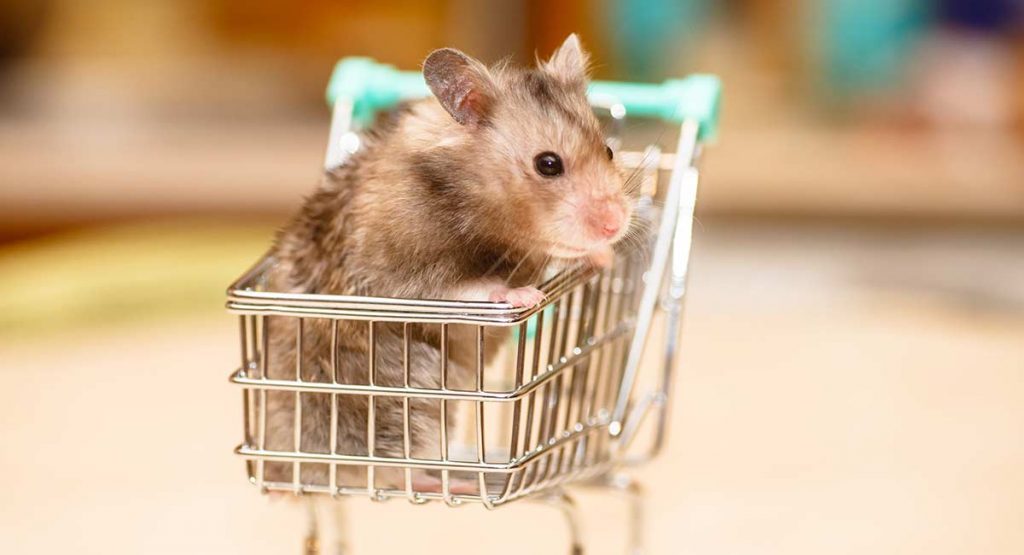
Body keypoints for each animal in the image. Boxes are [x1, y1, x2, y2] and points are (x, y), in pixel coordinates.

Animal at [262, 34, 633, 494]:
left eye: (609, 150)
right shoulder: (405, 282)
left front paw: (604, 255)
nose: (617, 224)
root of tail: (287, 473)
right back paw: (457, 484)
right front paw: (524, 294)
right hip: (404, 412)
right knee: (397, 474)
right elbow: (473, 287)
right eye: (548, 164)